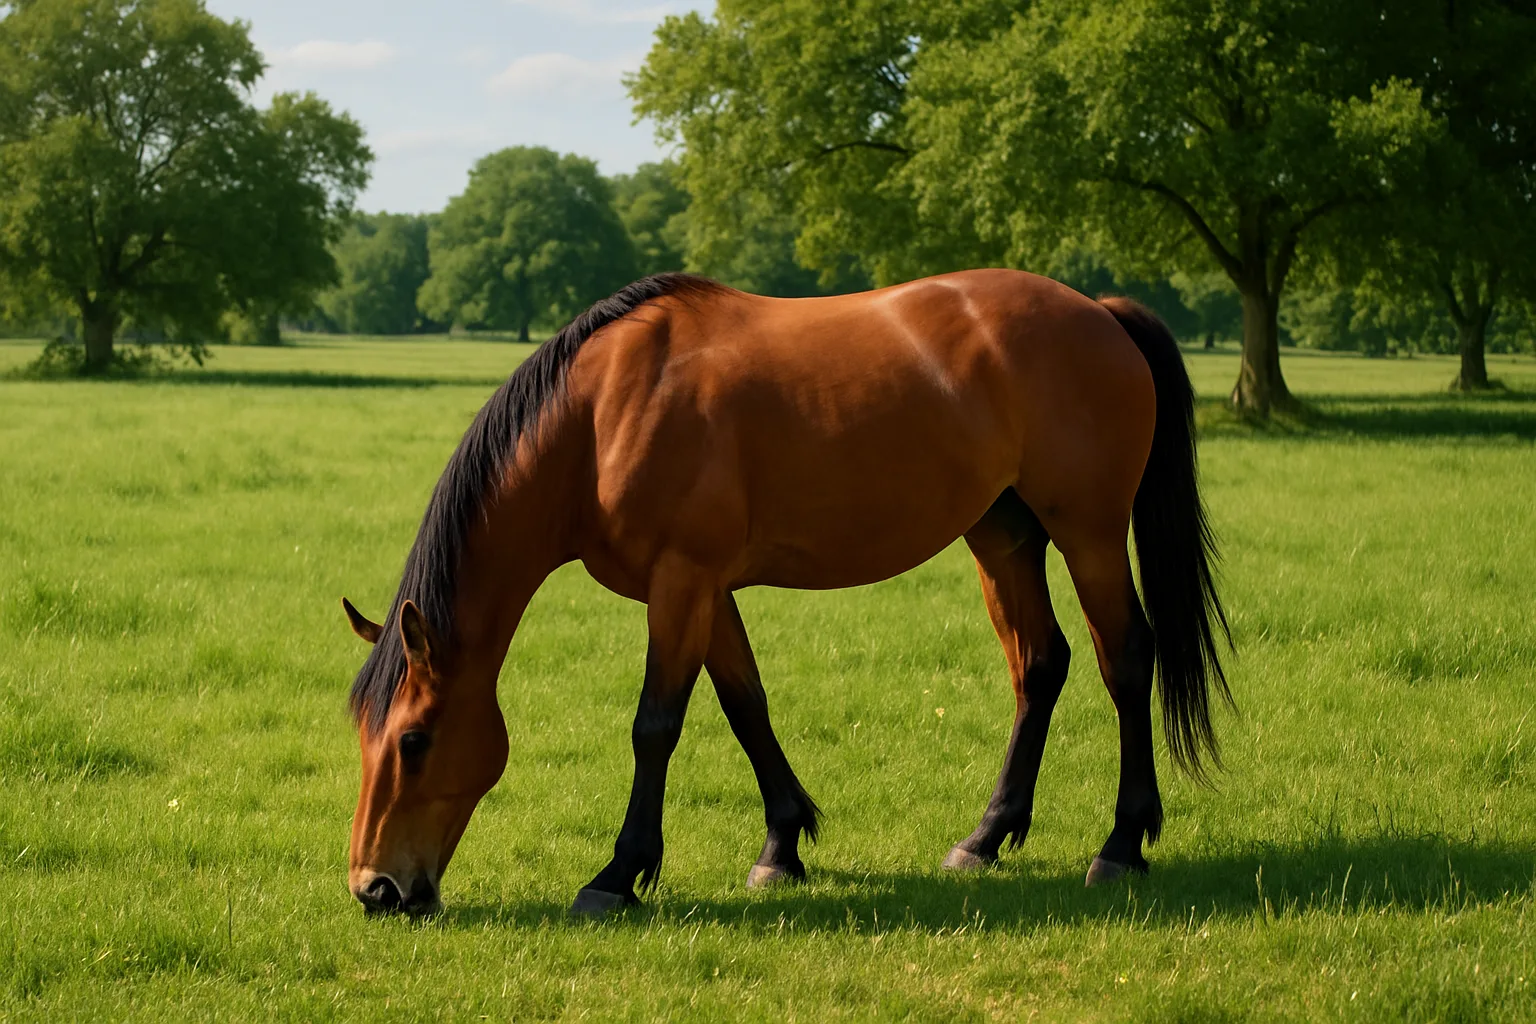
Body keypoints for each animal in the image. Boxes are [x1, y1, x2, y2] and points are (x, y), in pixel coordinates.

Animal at [340, 270, 1231, 918]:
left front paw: (619, 874)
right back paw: (985, 836)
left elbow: (655, 727)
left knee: (1127, 659)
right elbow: (746, 707)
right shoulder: (708, 589)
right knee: (1040, 666)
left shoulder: (681, 582)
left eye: (415, 740)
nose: (376, 889)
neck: (604, 415)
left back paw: (1120, 845)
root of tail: (1099, 311)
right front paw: (783, 845)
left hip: (1088, 534)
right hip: (1003, 535)